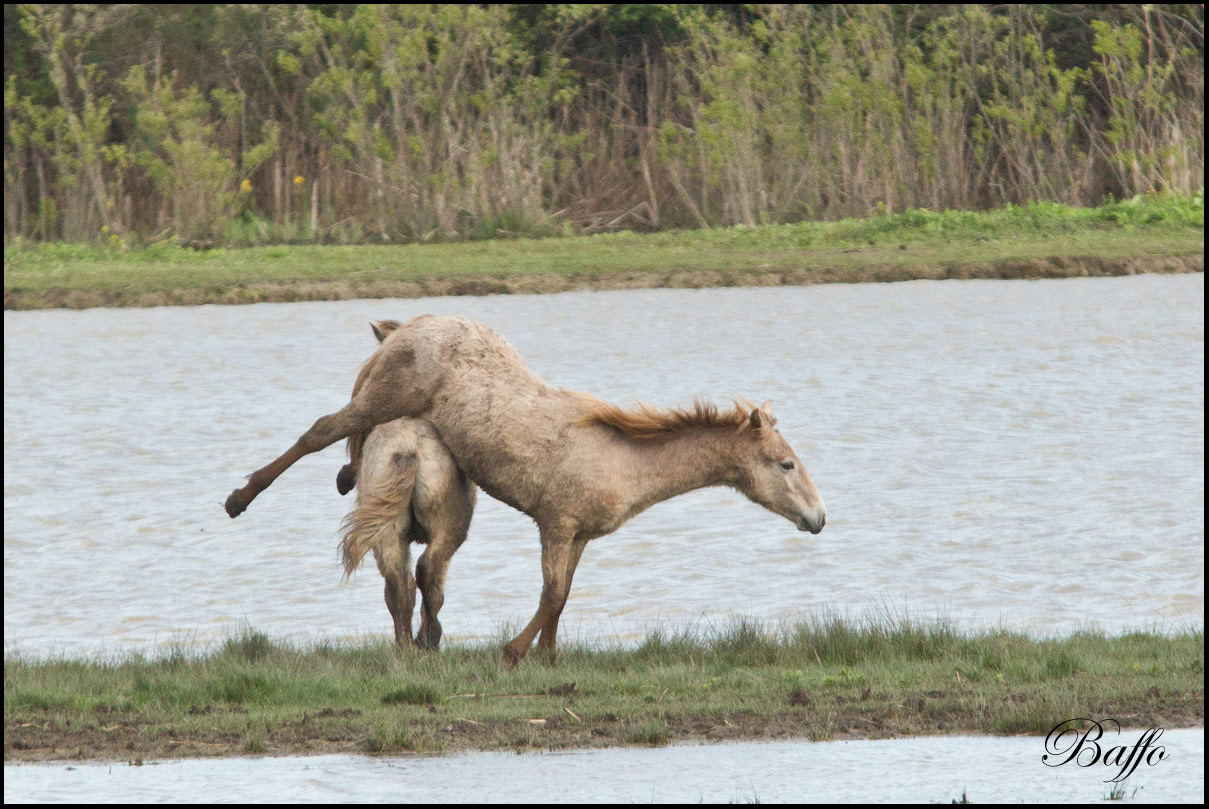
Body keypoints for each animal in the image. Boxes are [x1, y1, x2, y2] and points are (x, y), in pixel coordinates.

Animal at [340, 415, 476, 648]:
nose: (344, 481)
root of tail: (406, 450)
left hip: (387, 535)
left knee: (399, 585)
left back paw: (405, 645)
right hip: (448, 529)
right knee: (428, 573)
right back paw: (428, 638)